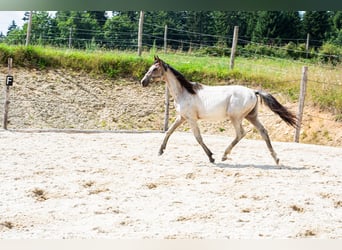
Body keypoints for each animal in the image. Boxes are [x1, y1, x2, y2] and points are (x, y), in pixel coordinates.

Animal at [140, 56, 298, 165]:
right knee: (263, 132)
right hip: (251, 117)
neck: (184, 92)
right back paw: (276, 159)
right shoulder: (182, 117)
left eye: (155, 69)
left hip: (235, 117)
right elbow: (169, 132)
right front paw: (160, 151)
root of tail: (253, 92)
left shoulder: (191, 119)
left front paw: (211, 157)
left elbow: (198, 137)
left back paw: (224, 155)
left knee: (241, 133)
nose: (143, 82)